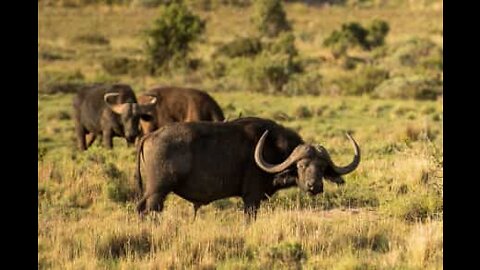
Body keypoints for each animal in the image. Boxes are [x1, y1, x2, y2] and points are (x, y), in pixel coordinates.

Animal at [135, 116, 360, 221]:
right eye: (302, 165)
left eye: (322, 167)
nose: (315, 186)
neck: (271, 148)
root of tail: (150, 136)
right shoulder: (251, 198)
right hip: (157, 192)